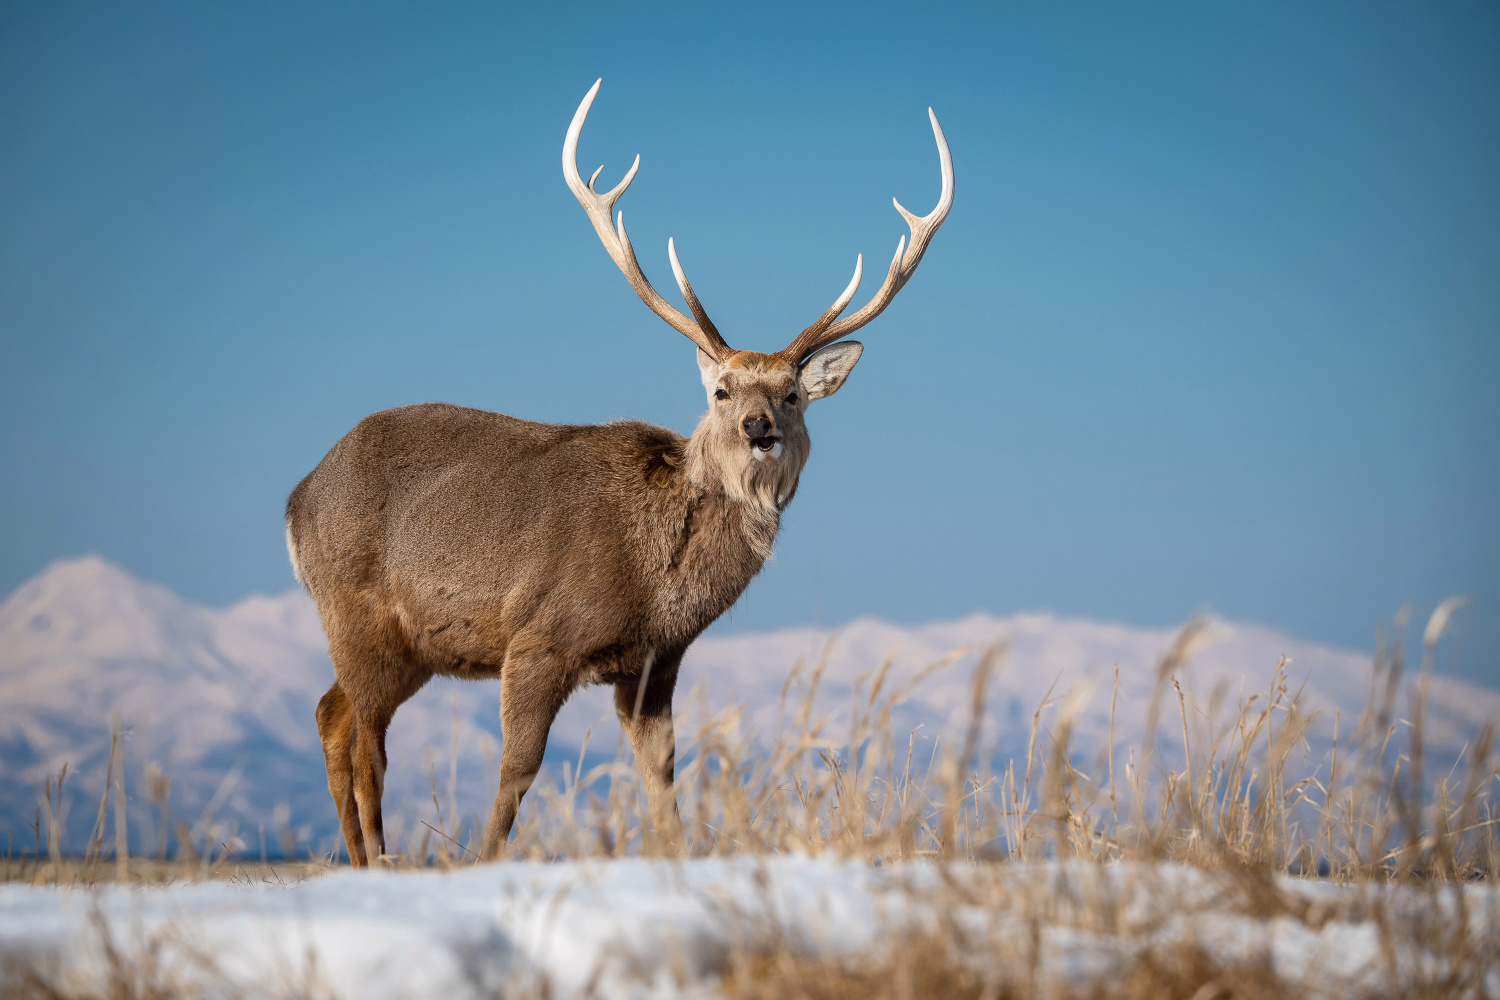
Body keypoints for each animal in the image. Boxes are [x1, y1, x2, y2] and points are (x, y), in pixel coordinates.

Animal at [286, 78, 954, 863]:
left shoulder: (654, 664)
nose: (759, 427)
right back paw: (378, 859)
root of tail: (296, 498)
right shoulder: (539, 635)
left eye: (792, 394)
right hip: (356, 612)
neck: (656, 581)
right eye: (722, 390)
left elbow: (661, 779)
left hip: (411, 643)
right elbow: (517, 772)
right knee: (366, 740)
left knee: (332, 714)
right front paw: (485, 862)